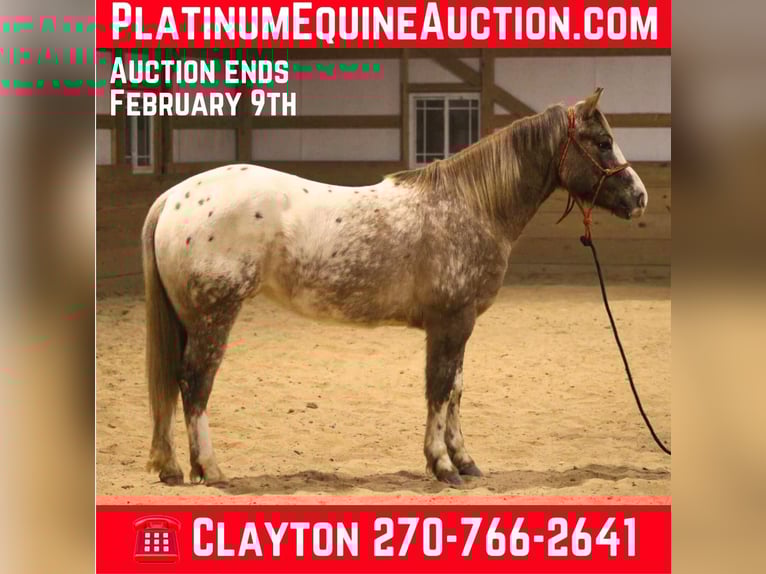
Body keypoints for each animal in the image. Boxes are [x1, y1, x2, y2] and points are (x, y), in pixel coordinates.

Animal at [142, 88, 648, 486]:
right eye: (603, 142)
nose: (639, 196)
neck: (470, 205)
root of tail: (174, 197)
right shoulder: (450, 324)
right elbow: (439, 390)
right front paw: (442, 466)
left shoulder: (458, 326)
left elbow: (456, 388)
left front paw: (464, 461)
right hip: (215, 316)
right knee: (195, 383)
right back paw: (210, 469)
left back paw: (172, 468)